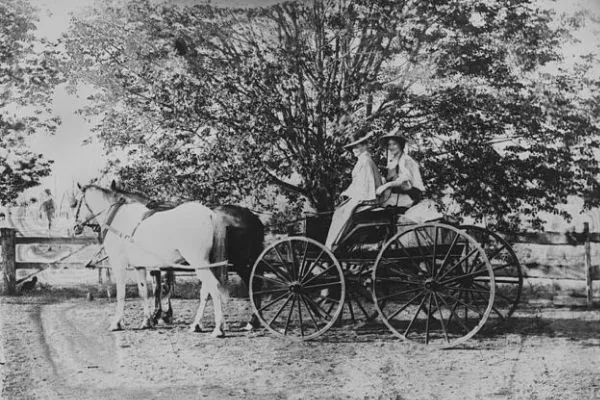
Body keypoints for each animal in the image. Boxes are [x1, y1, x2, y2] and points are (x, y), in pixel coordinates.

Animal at [73, 182, 227, 338]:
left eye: (76, 203)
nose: (75, 227)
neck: (117, 218)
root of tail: (209, 214)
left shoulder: (119, 265)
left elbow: (121, 294)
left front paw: (116, 323)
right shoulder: (139, 266)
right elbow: (143, 292)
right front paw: (147, 322)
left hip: (198, 263)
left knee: (213, 287)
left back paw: (218, 329)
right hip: (203, 265)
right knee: (205, 290)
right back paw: (196, 325)